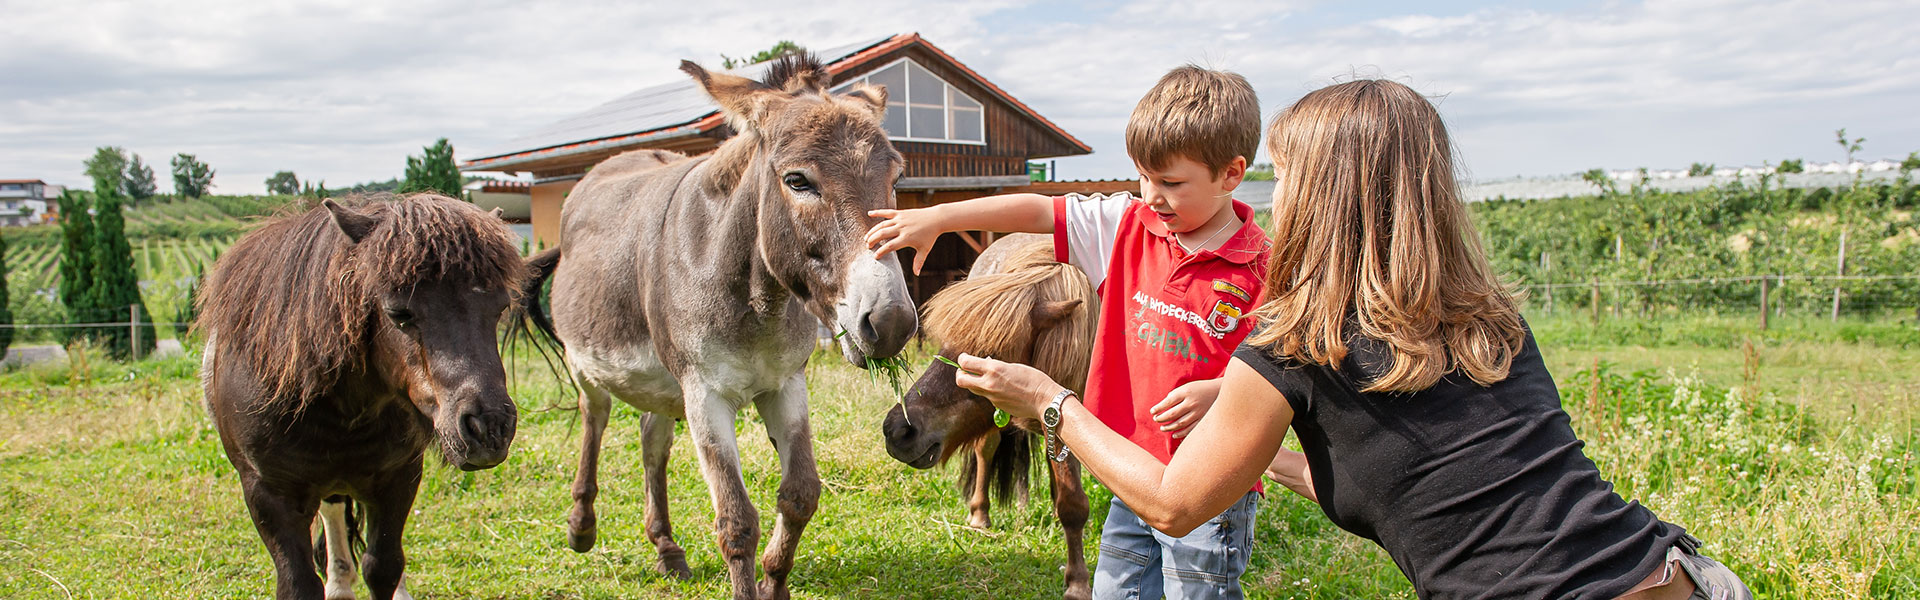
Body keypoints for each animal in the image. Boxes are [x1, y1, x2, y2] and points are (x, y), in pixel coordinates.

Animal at [197, 194, 526, 600]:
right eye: (399, 313)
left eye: (500, 308)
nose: (489, 427)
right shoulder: (269, 495)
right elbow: (299, 583)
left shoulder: (397, 480)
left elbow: (382, 567)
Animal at [879, 234, 1098, 600]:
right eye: (945, 346)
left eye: (987, 358)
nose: (897, 431)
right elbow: (1072, 504)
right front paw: (1078, 583)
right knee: (985, 452)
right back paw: (980, 514)